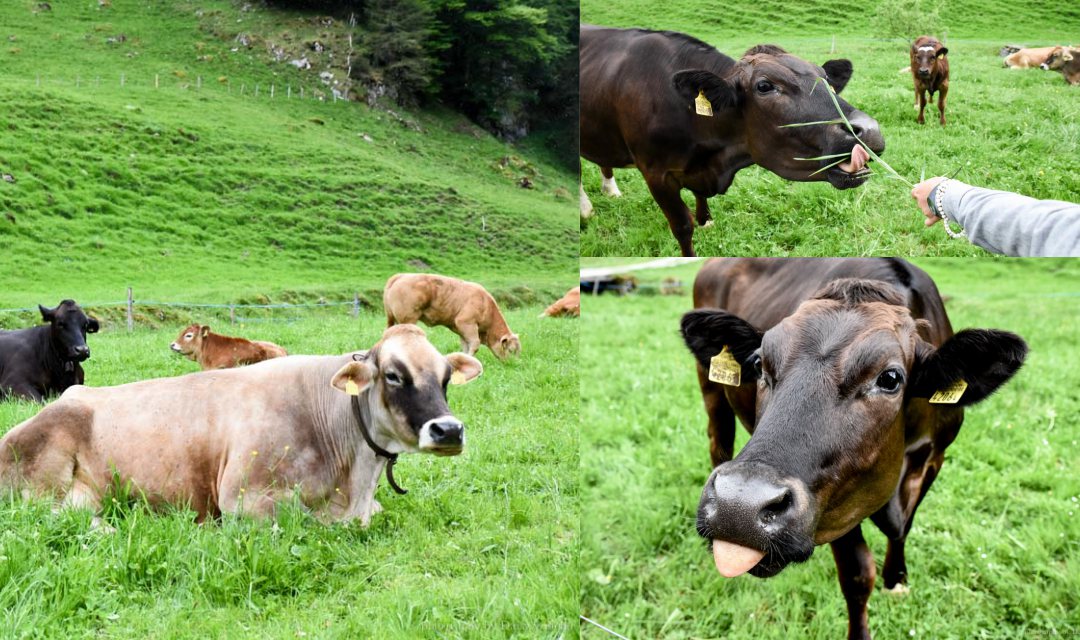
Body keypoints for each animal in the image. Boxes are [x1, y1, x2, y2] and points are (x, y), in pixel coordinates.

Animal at [384, 270, 522, 356]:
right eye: (511, 350)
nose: (513, 364)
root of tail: (401, 275)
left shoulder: (461, 330)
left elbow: (465, 346)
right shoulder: (467, 323)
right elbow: (474, 344)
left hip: (392, 319)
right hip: (408, 319)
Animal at [578, 26, 881, 256]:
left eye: (827, 78)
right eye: (764, 86)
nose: (869, 129)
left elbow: (699, 198)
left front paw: (706, 220)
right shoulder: (656, 173)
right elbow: (682, 226)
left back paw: (610, 189)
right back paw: (585, 208)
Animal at [682, 256, 1028, 638]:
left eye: (890, 378)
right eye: (758, 363)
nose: (737, 506)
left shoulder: (935, 458)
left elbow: (904, 527)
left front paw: (897, 578)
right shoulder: (838, 497)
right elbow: (858, 576)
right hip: (711, 389)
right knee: (718, 442)